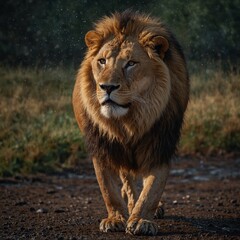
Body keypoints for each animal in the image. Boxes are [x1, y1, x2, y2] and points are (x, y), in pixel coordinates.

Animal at [71, 10, 189, 235]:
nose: (107, 87)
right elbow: (108, 189)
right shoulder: (102, 146)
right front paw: (115, 218)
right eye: (102, 61)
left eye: (131, 63)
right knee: (127, 178)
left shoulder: (160, 144)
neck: (130, 121)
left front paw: (142, 219)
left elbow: (152, 189)